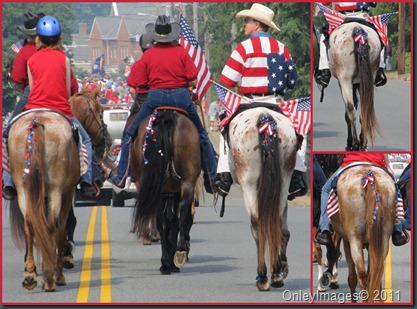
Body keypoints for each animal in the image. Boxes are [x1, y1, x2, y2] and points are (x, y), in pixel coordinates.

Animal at [7, 110, 81, 292]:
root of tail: (37, 121)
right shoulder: (67, 192)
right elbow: (63, 228)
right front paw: (59, 271)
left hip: (23, 189)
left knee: (29, 225)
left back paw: (30, 275)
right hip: (56, 190)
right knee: (52, 225)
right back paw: (50, 277)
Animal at [130, 107, 202, 274]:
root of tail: (168, 117)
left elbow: (170, 221)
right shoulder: (173, 192)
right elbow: (173, 221)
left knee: (163, 220)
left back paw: (170, 259)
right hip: (186, 183)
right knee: (180, 214)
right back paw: (179, 251)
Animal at [224, 104, 300, 290]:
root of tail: (264, 117)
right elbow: (283, 230)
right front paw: (281, 267)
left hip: (249, 181)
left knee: (257, 223)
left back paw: (263, 276)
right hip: (284, 177)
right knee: (276, 219)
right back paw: (276, 273)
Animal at [326, 20, 382, 150]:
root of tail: (357, 29)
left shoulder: (342, 82)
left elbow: (347, 113)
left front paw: (349, 142)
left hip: (345, 80)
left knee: (351, 110)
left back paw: (356, 143)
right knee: (364, 109)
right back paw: (362, 142)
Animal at [328, 164, 396, 300]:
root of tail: (368, 176)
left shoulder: (347, 241)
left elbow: (352, 278)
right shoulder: (371, 244)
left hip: (355, 239)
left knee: (361, 275)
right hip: (383, 238)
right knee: (376, 272)